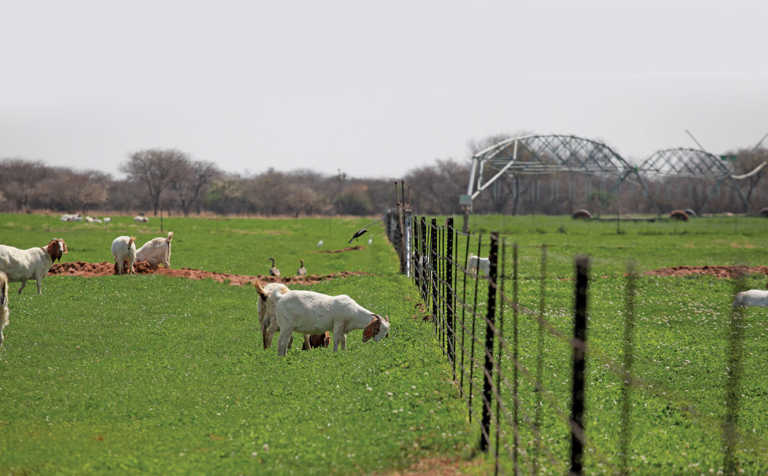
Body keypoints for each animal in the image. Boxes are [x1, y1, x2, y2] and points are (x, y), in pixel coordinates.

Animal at [255, 282, 390, 356]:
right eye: (377, 328)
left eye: (386, 332)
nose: (377, 340)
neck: (354, 312)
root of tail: (280, 297)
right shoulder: (338, 324)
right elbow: (336, 340)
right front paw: (335, 353)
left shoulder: (343, 328)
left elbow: (343, 340)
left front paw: (344, 352)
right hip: (285, 326)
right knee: (280, 341)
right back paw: (281, 357)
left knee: (284, 341)